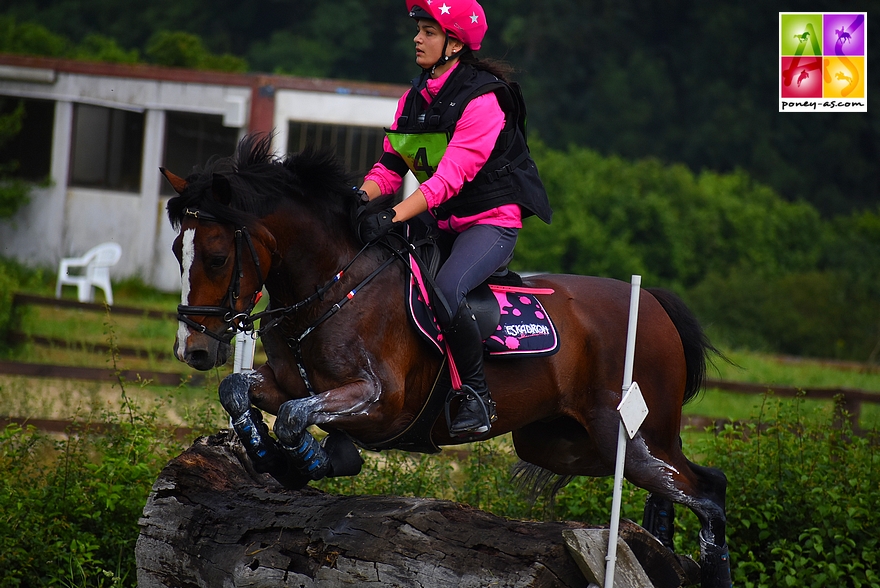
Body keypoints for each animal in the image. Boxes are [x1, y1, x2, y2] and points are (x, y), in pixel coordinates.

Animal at [162, 134, 732, 588]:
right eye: (175, 252)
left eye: (217, 257)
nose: (193, 350)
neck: (334, 283)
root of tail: (653, 302)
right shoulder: (287, 381)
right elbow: (239, 391)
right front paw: (271, 456)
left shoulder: (380, 402)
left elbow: (295, 415)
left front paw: (309, 459)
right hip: (564, 444)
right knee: (676, 483)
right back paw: (658, 544)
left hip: (630, 436)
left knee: (707, 490)